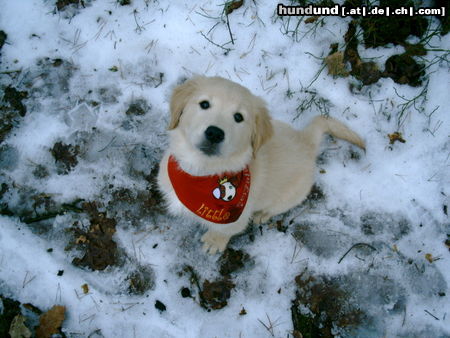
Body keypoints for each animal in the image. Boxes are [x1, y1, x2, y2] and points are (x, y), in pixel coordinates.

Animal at [156, 76, 364, 255]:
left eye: (238, 117)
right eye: (204, 104)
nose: (215, 133)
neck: (201, 171)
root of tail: (306, 141)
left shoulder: (235, 219)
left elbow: (225, 231)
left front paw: (214, 242)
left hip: (290, 196)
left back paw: (262, 215)